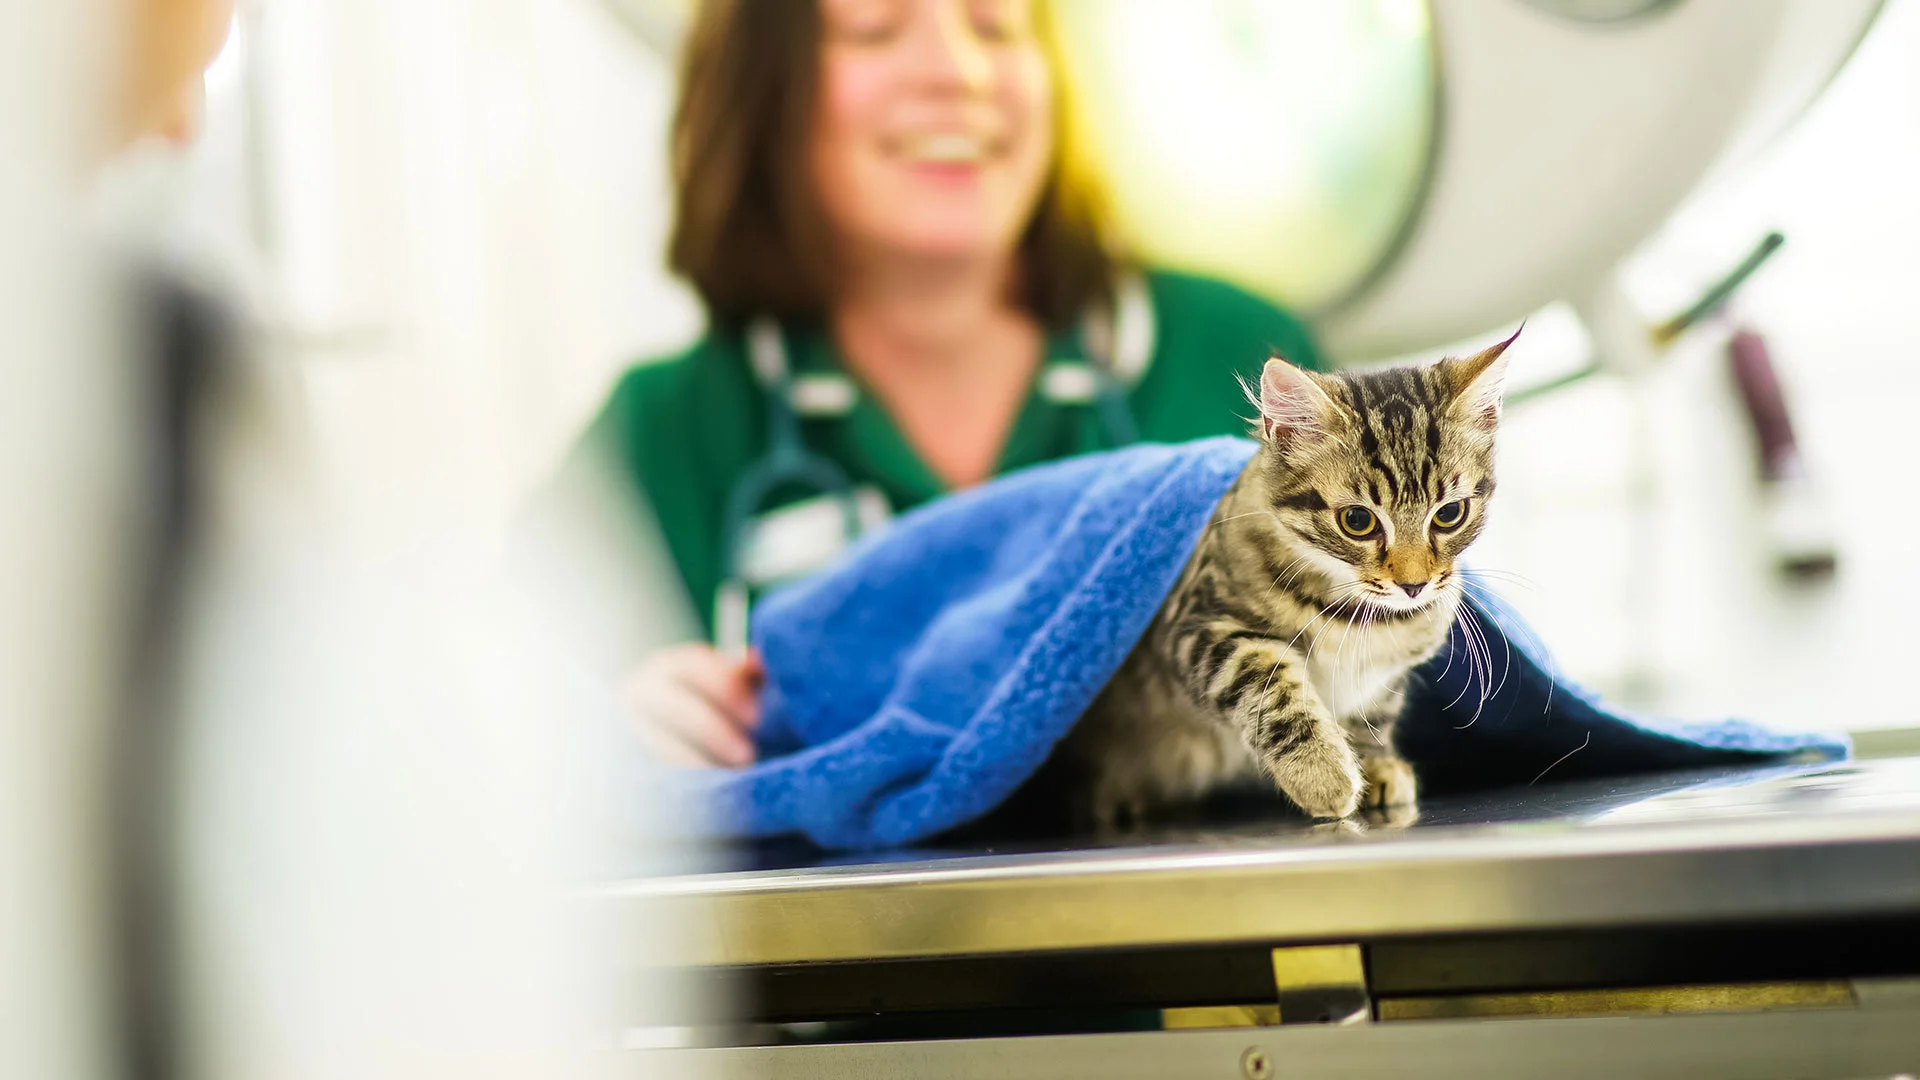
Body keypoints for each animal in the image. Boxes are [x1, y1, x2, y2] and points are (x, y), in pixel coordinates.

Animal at [1052, 328, 1512, 822]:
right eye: (1357, 521)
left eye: (1449, 514)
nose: (1414, 585)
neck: (1359, 615)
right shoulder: (1199, 627)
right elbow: (1271, 690)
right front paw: (1323, 776)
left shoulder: (1382, 678)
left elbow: (1373, 716)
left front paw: (1377, 765)